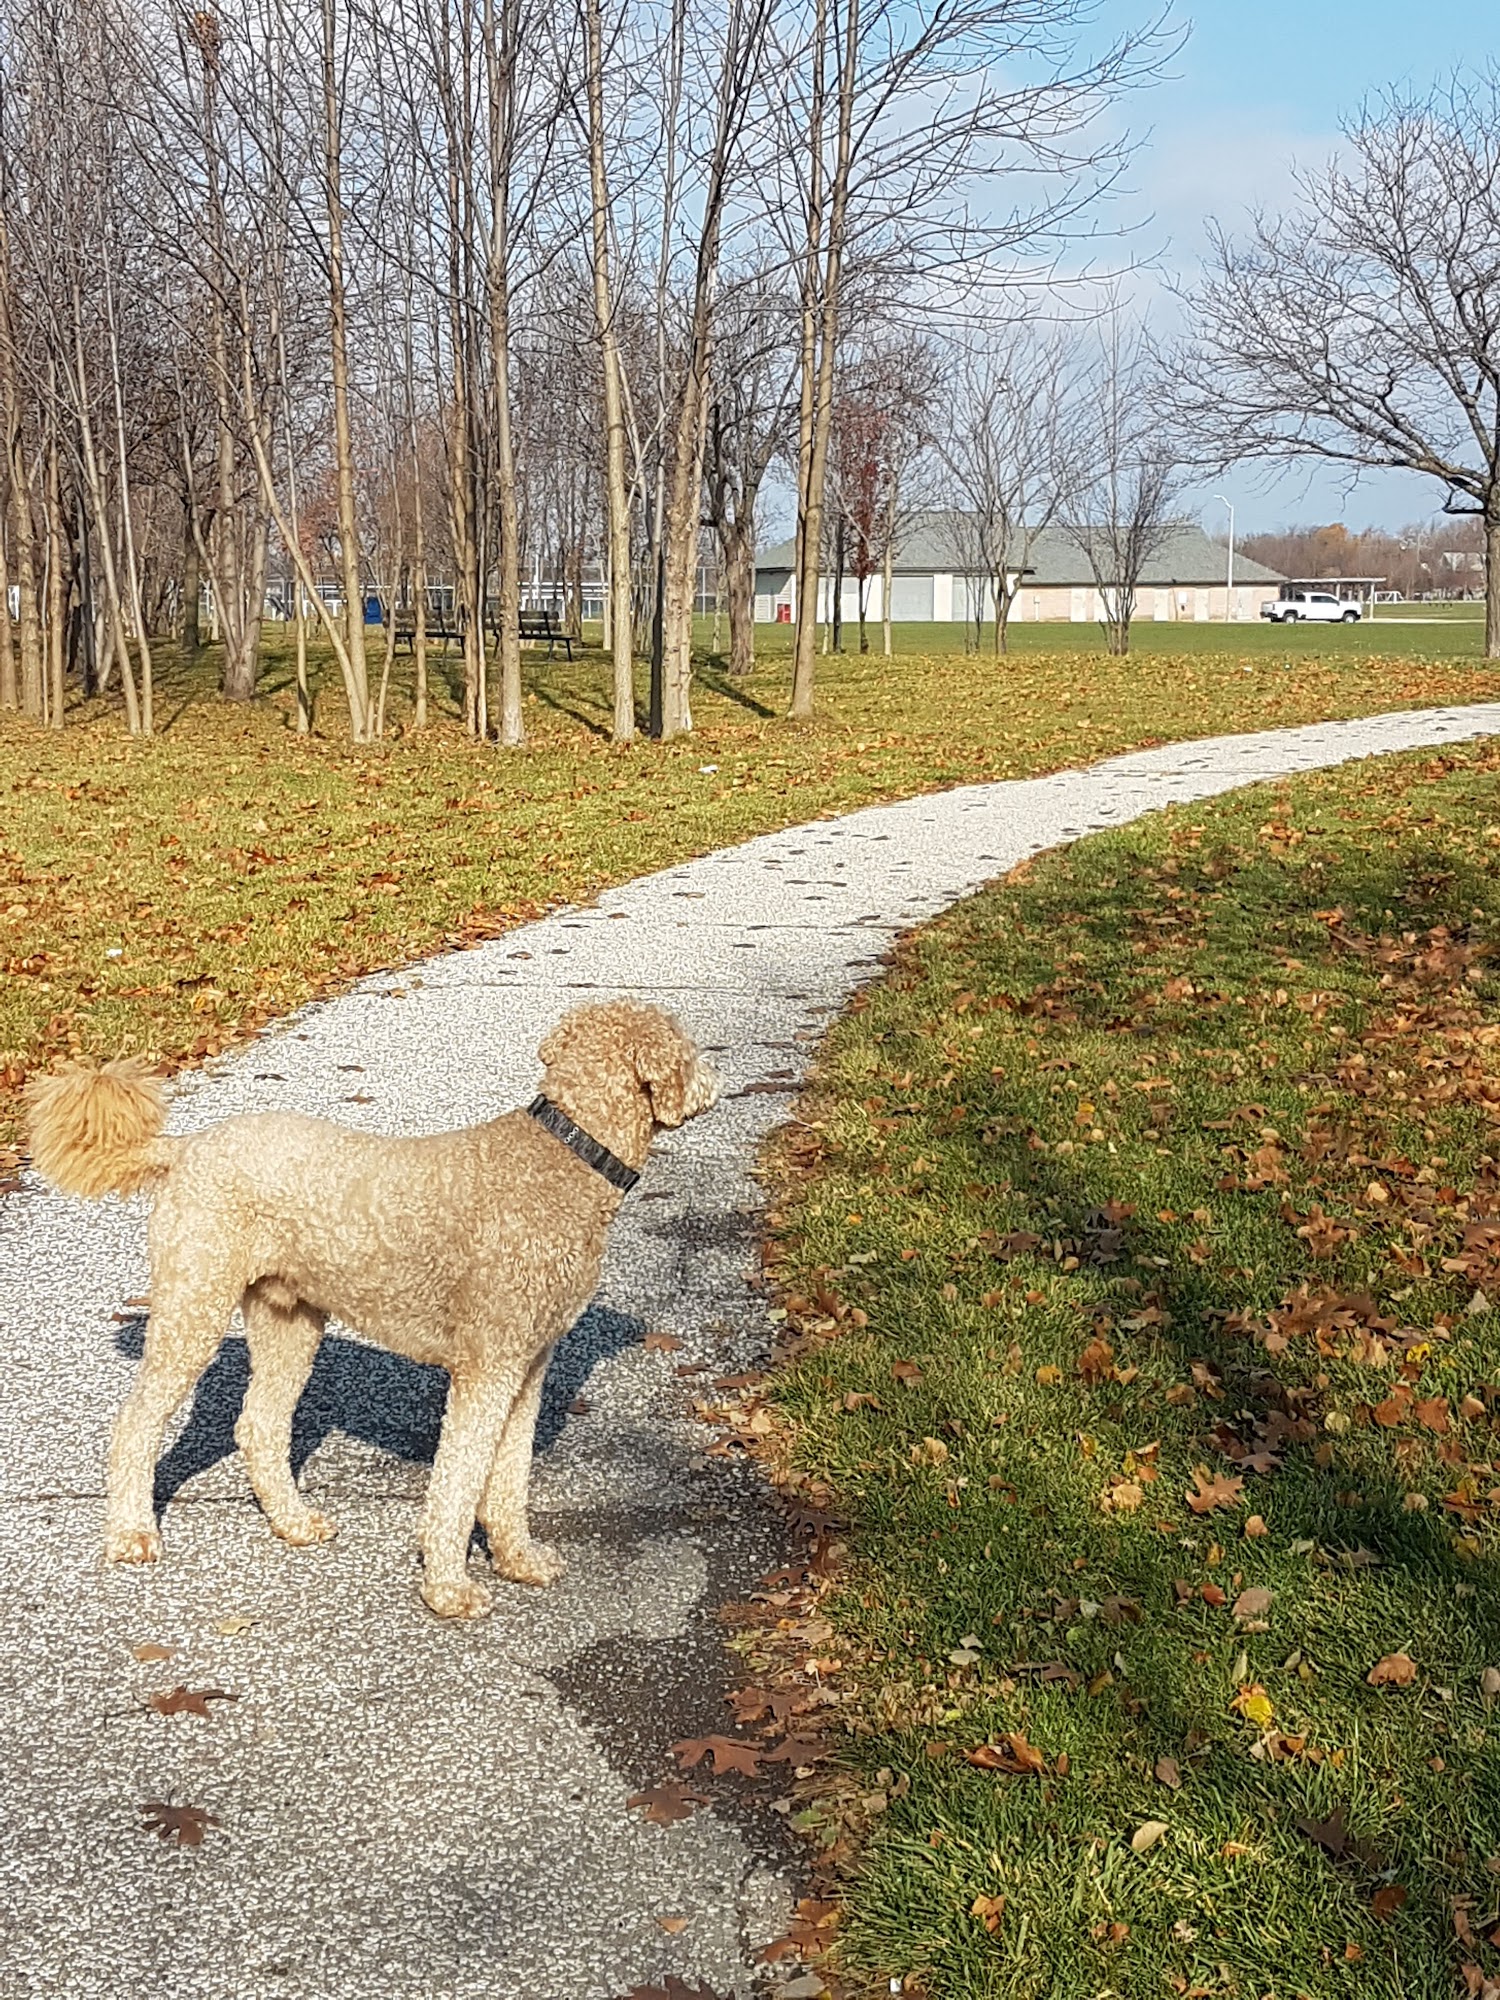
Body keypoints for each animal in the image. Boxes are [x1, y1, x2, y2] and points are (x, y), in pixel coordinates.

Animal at [26, 1001, 719, 1618]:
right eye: (686, 1046)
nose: (710, 1082)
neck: (569, 1156)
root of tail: (186, 1146)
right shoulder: (486, 1369)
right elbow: (459, 1480)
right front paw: (449, 1590)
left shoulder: (526, 1366)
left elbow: (508, 1477)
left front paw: (518, 1558)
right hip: (194, 1303)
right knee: (136, 1423)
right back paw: (131, 1533)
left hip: (288, 1322)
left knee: (259, 1426)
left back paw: (293, 1522)